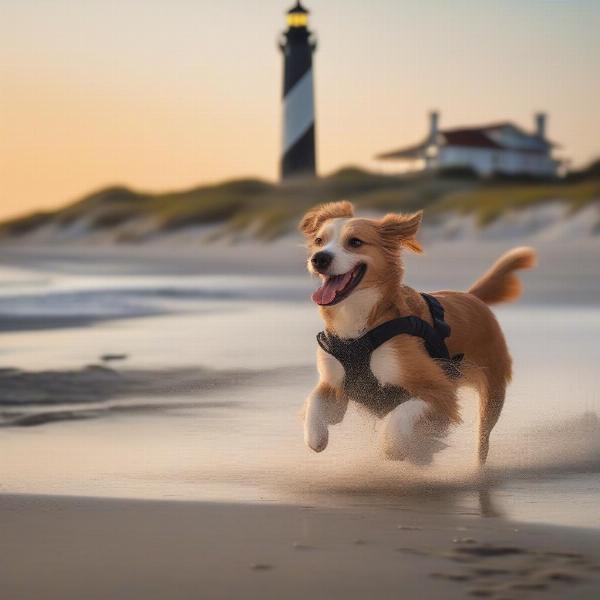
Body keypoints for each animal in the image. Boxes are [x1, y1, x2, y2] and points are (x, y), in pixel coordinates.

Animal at [298, 200, 536, 464]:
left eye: (355, 242)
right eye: (319, 241)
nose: (318, 258)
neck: (360, 329)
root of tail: (472, 296)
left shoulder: (439, 391)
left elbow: (400, 418)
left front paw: (400, 448)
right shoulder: (335, 386)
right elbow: (314, 403)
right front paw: (315, 436)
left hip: (491, 397)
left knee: (482, 443)